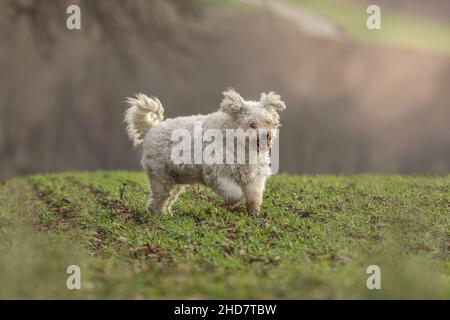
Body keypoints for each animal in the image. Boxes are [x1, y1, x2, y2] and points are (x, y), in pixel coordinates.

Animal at [123, 89, 284, 216]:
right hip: (160, 176)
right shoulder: (218, 175)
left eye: (268, 122)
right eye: (252, 125)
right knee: (159, 197)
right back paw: (156, 214)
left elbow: (254, 195)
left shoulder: (253, 175)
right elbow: (235, 194)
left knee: (167, 198)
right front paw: (232, 204)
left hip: (176, 179)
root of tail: (151, 129)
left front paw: (253, 211)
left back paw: (165, 213)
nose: (267, 135)